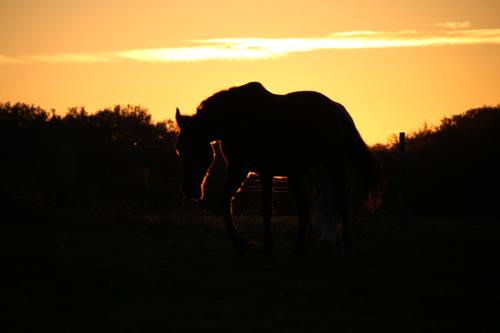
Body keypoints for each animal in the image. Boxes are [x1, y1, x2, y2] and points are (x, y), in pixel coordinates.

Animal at [176, 82, 382, 254]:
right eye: (179, 150)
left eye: (192, 150)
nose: (189, 191)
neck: (236, 119)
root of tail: (337, 111)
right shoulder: (241, 168)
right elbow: (225, 202)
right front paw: (240, 244)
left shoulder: (260, 171)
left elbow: (266, 209)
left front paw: (266, 246)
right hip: (300, 173)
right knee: (306, 207)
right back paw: (300, 247)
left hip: (333, 165)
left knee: (339, 201)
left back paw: (344, 242)